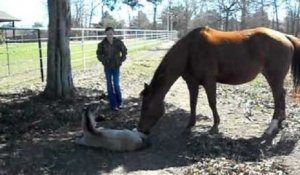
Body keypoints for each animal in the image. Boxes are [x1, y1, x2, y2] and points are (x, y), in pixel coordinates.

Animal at [138, 26, 300, 138]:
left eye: (146, 106)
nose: (141, 130)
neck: (190, 50)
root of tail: (284, 36)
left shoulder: (209, 80)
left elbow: (212, 102)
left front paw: (215, 126)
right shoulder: (192, 83)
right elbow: (193, 103)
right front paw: (190, 125)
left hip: (274, 77)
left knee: (278, 98)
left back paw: (271, 127)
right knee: (281, 96)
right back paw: (280, 122)